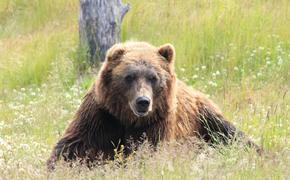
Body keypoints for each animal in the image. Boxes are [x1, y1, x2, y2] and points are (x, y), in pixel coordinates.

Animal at [47, 41, 260, 170]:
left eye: (153, 77)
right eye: (129, 76)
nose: (143, 101)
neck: (128, 119)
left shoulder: (157, 121)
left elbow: (149, 152)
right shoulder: (102, 115)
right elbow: (74, 145)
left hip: (205, 117)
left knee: (231, 134)